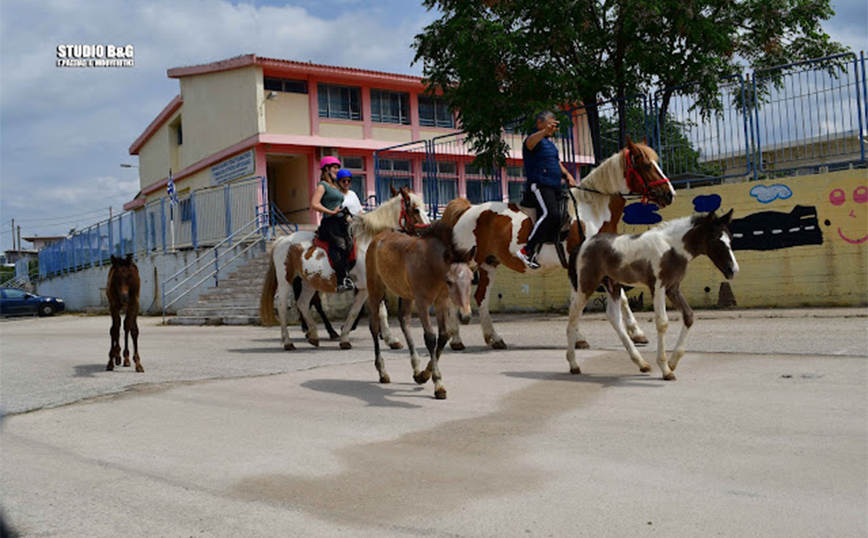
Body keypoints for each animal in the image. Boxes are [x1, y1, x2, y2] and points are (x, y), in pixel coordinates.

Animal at [262, 186, 430, 350]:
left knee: (303, 303)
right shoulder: (368, 286)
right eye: (416, 210)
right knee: (283, 307)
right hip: (285, 281)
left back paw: (314, 335)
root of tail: (283, 240)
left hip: (309, 282)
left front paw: (348, 338)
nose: (427, 231)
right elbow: (374, 311)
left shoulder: (367, 287)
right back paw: (288, 342)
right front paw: (386, 338)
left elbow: (360, 311)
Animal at [366, 218, 474, 398]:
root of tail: (378, 237)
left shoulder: (441, 301)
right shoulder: (422, 301)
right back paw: (383, 372)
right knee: (374, 326)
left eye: (472, 279)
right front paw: (438, 384)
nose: (465, 316)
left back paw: (416, 369)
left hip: (406, 294)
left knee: (404, 321)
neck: (431, 264)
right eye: (450, 281)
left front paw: (424, 374)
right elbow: (430, 337)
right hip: (375, 289)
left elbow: (444, 335)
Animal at [444, 138, 676, 348]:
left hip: (489, 263)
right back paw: (456, 339)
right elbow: (578, 300)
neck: (593, 211)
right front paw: (579, 338)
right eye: (646, 165)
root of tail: (467, 209)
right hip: (469, 260)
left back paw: (494, 338)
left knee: (481, 297)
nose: (670, 194)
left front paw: (637, 333)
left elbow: (621, 297)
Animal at [568, 207, 740, 378]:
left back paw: (641, 363)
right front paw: (665, 369)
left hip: (613, 285)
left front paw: (672, 363)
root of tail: (583, 245)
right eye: (714, 239)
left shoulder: (673, 288)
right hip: (587, 284)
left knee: (614, 317)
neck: (672, 248)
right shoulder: (658, 286)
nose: (733, 270)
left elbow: (689, 316)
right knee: (574, 314)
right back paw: (574, 364)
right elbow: (662, 322)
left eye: (731, 239)